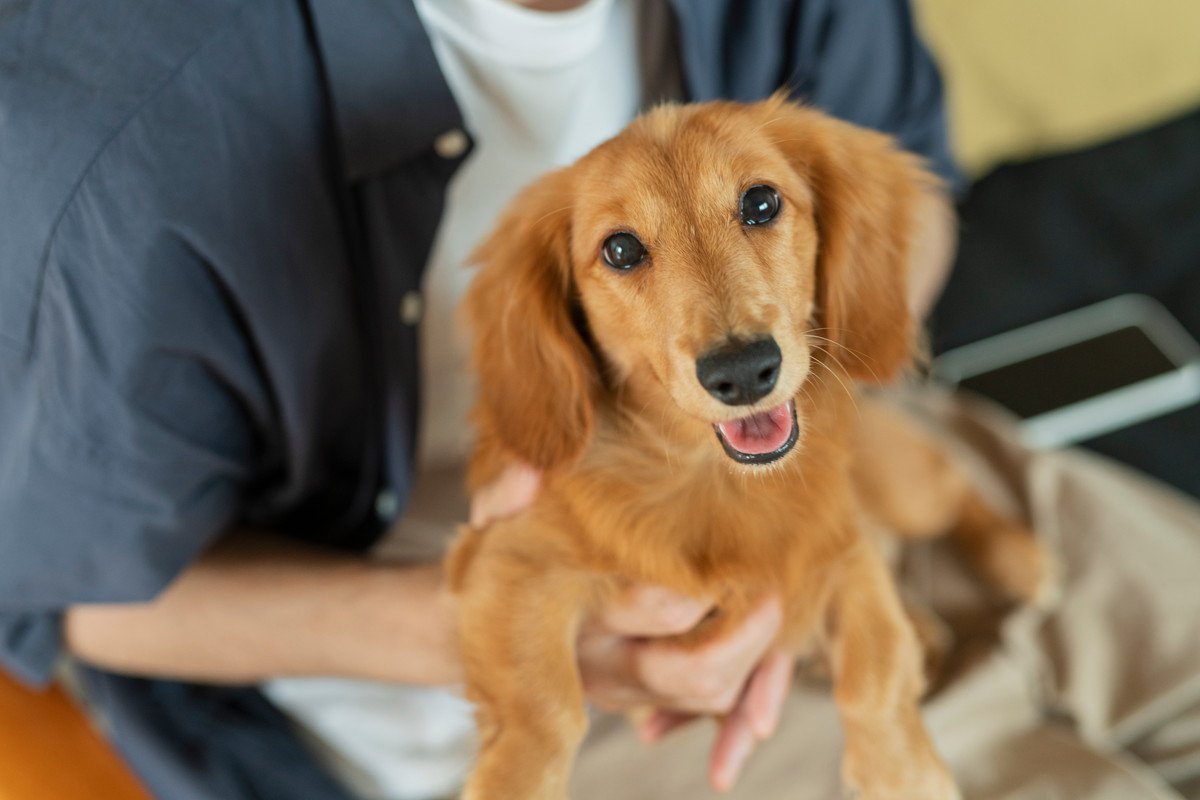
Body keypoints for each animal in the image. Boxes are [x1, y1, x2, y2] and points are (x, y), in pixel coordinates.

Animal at [446, 95, 1046, 800]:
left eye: (761, 202)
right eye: (620, 248)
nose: (742, 372)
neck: (715, 478)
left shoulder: (841, 542)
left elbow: (873, 672)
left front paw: (902, 771)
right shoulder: (509, 557)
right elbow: (543, 713)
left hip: (898, 481)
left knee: (956, 489)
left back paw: (1021, 558)